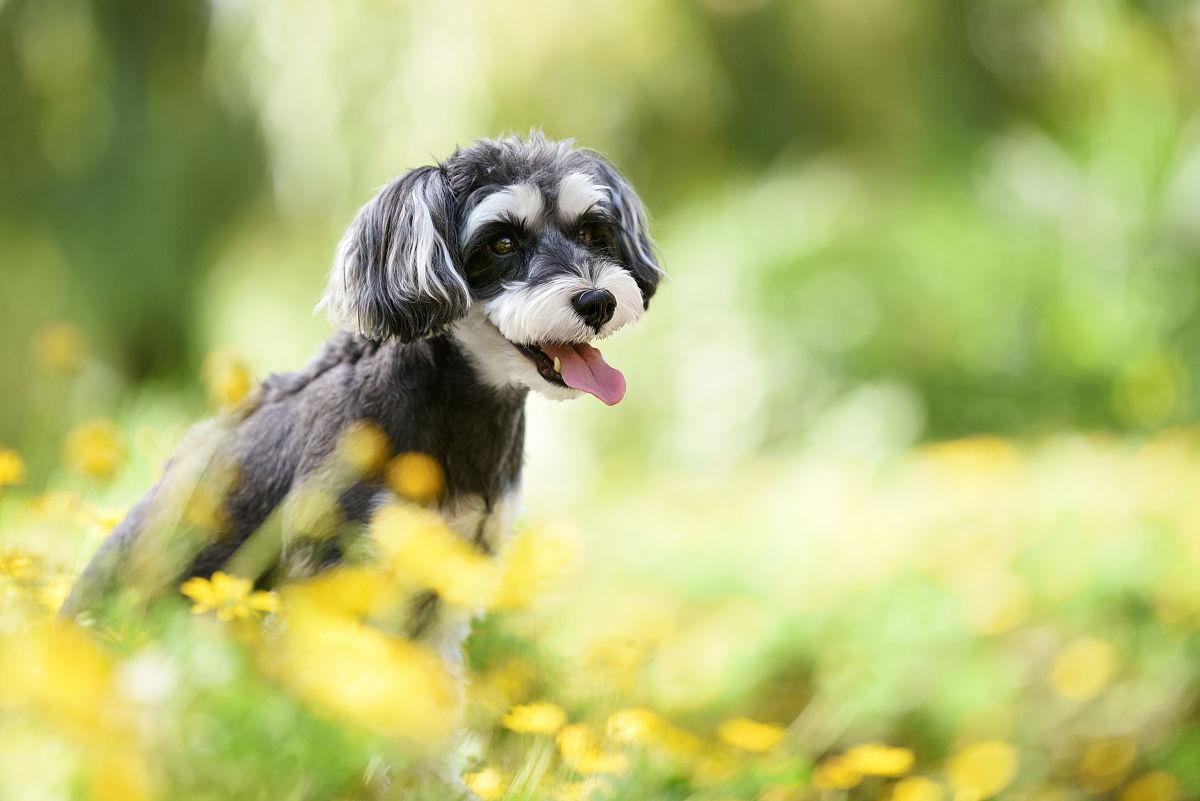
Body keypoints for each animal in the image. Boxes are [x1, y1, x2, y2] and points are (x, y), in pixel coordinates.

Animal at [60, 133, 662, 781]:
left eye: (593, 231)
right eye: (501, 241)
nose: (597, 299)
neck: (452, 416)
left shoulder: (443, 600)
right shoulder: (328, 588)